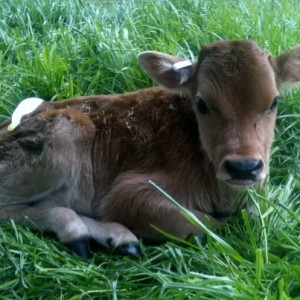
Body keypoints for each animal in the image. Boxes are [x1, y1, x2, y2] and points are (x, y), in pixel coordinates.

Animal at [0, 40, 300, 258]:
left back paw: (118, 239)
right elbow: (205, 224)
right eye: (201, 103)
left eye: (274, 102)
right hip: (65, 132)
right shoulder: (128, 195)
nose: (243, 167)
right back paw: (78, 230)